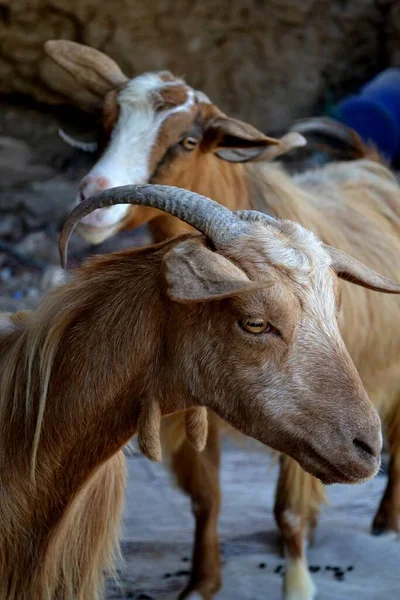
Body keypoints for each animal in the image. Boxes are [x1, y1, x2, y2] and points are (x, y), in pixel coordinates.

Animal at [46, 38, 400, 600]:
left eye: (188, 141)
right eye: (105, 122)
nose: (92, 197)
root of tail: (370, 166)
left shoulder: (313, 410)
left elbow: (288, 510)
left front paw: (298, 585)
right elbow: (205, 498)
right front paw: (201, 583)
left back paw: (386, 522)